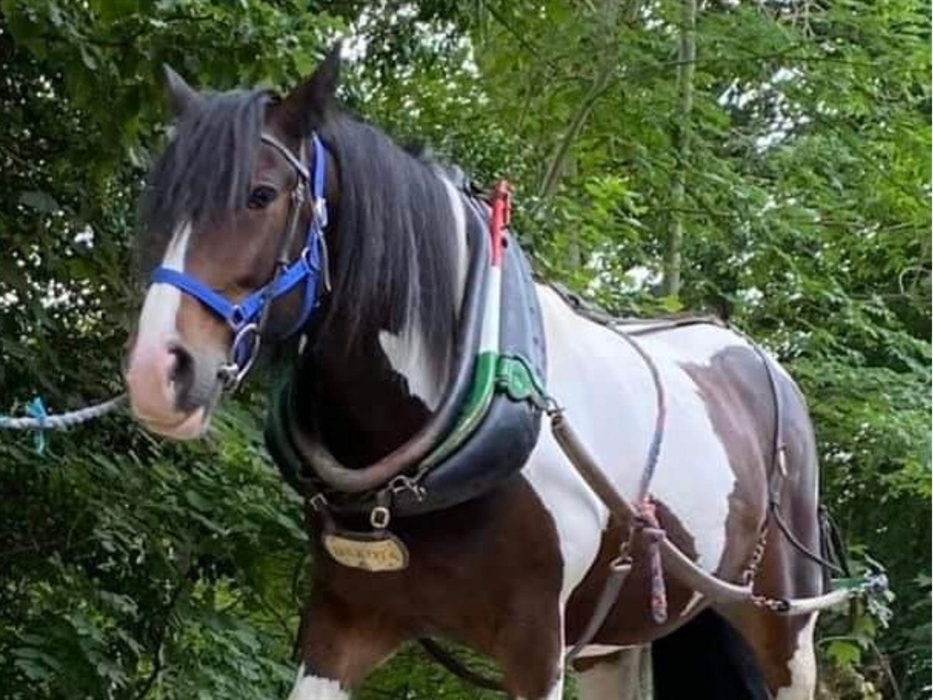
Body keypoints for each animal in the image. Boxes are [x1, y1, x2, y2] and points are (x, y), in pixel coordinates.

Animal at [124, 46, 832, 700]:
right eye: (159, 203)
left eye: (261, 194)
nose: (158, 371)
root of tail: (763, 363)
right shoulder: (344, 623)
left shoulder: (537, 645)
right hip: (614, 642)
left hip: (783, 625)